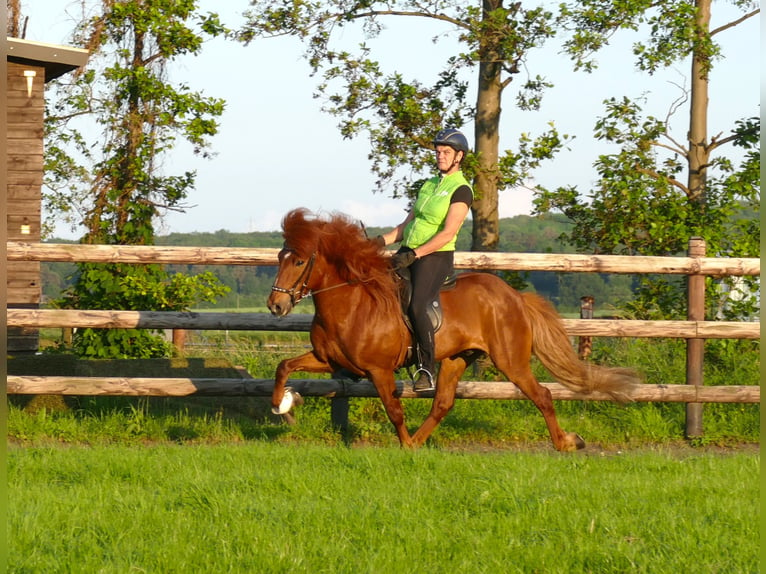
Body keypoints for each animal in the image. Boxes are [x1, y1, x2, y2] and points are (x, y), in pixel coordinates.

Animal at [268, 209, 640, 452]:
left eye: (299, 261)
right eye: (280, 257)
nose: (276, 305)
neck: (353, 302)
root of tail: (514, 296)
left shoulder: (379, 370)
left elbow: (394, 410)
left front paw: (403, 443)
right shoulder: (330, 361)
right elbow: (283, 367)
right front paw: (284, 404)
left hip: (510, 360)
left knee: (542, 396)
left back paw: (566, 443)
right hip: (457, 358)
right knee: (443, 403)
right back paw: (420, 441)